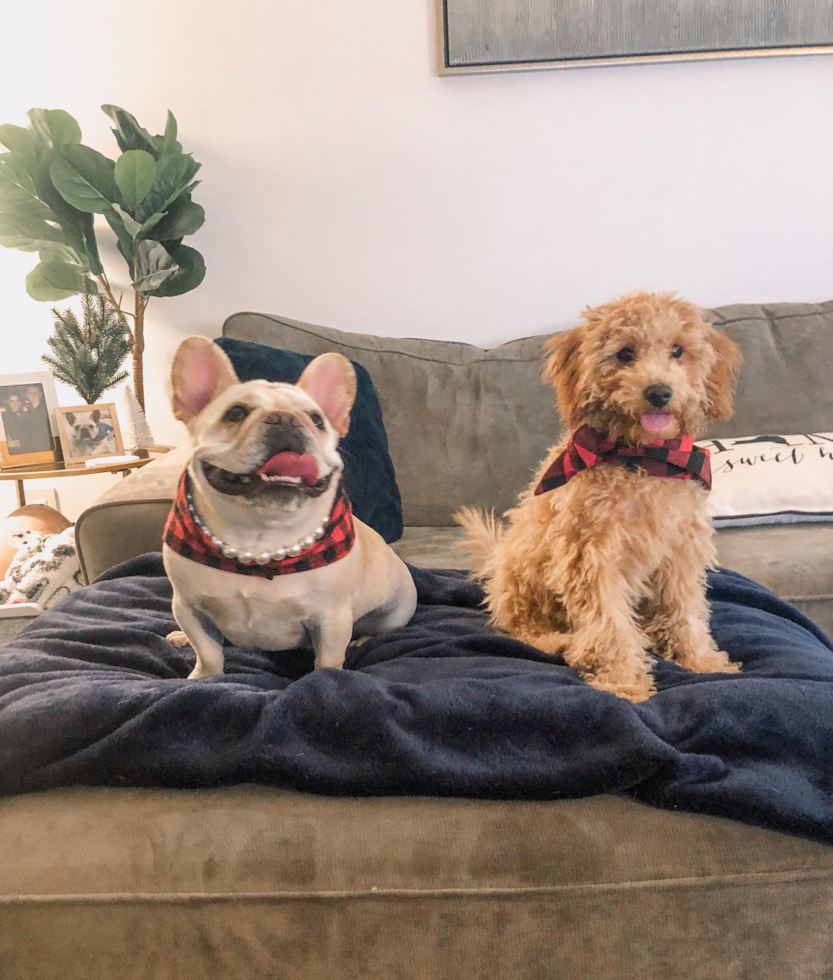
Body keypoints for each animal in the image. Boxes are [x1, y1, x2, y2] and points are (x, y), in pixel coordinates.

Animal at [458, 290, 744, 704]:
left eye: (678, 350)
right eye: (625, 353)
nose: (659, 392)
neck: (642, 459)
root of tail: (495, 565)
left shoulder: (679, 554)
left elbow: (686, 611)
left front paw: (701, 660)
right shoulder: (591, 557)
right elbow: (610, 628)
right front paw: (624, 683)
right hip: (522, 576)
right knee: (519, 626)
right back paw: (557, 642)